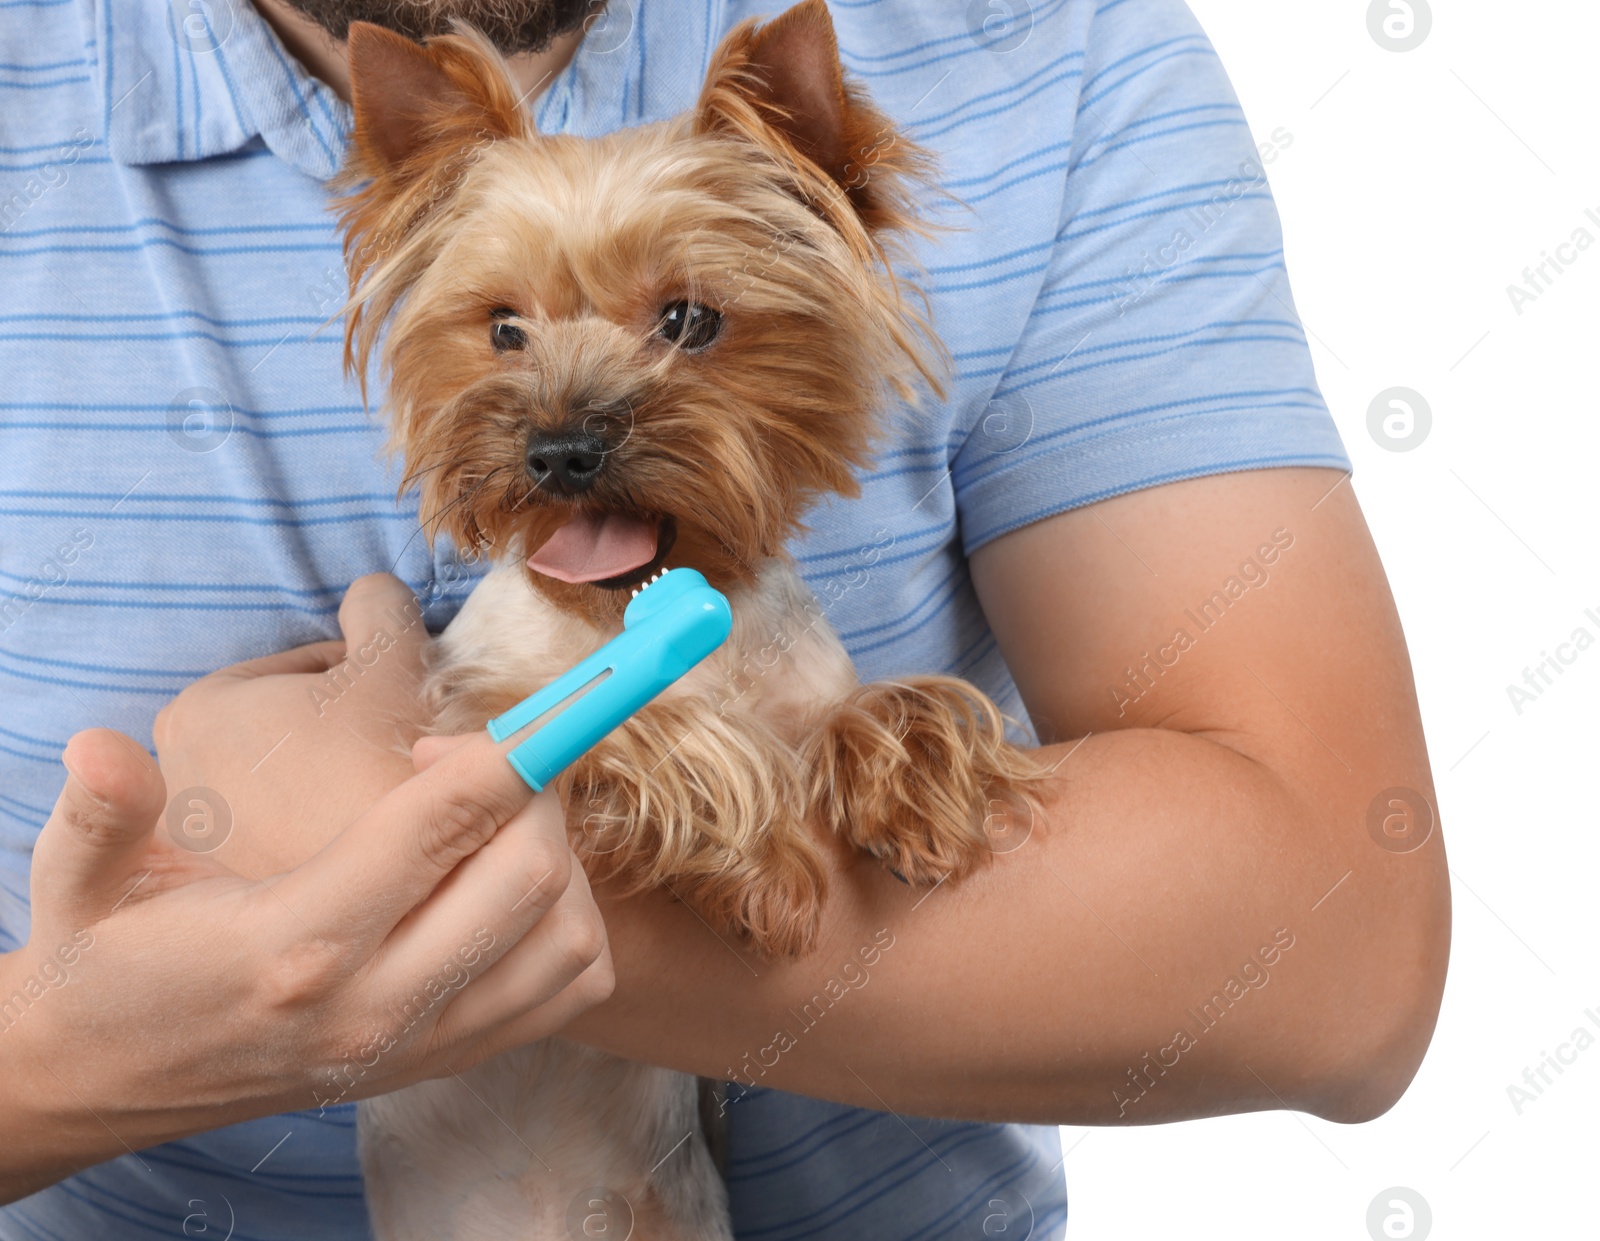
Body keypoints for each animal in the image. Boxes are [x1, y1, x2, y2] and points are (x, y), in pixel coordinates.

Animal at [336, 7, 1049, 1228]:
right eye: (504, 329)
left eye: (688, 320)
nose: (560, 448)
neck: (635, 607)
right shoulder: (468, 711)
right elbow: (643, 725)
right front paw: (762, 865)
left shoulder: (802, 684)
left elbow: (874, 704)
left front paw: (919, 781)